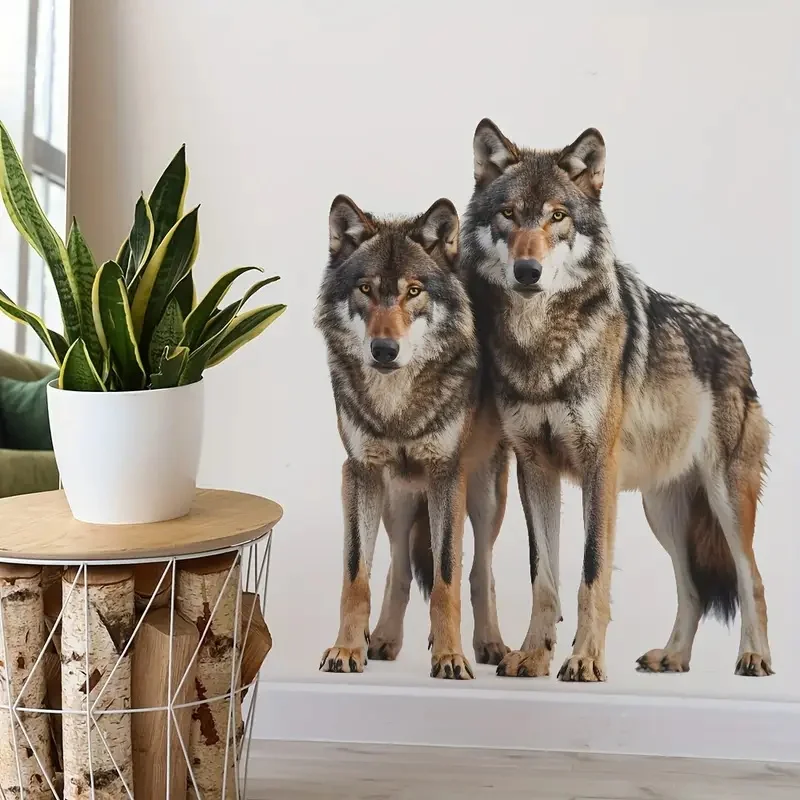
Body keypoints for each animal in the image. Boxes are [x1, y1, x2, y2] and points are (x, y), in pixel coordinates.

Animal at [315, 195, 510, 679]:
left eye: (414, 291)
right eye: (366, 289)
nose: (384, 350)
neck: (397, 408)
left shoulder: (446, 475)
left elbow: (447, 581)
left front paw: (450, 656)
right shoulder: (359, 473)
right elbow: (356, 577)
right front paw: (346, 649)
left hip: (483, 497)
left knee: (479, 572)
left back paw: (490, 644)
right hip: (397, 498)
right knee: (398, 567)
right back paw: (383, 640)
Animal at [461, 119, 772, 682]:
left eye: (558, 216)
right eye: (509, 214)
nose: (527, 271)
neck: (541, 347)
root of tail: (737, 347)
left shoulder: (597, 469)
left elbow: (591, 573)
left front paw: (584, 659)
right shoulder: (533, 467)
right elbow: (544, 577)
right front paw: (533, 655)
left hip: (724, 499)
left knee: (751, 577)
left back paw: (754, 657)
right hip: (662, 512)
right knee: (691, 589)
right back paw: (672, 657)